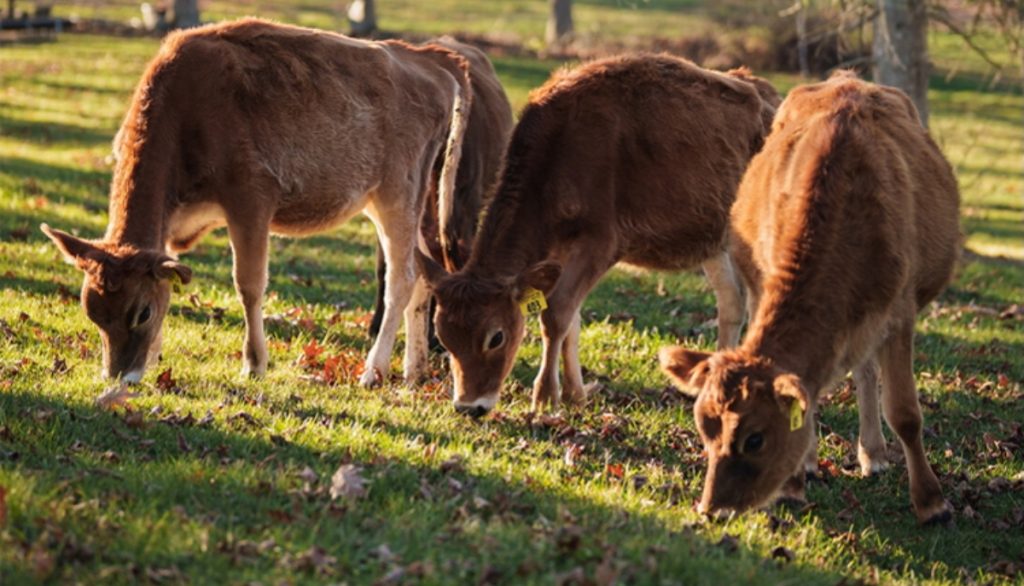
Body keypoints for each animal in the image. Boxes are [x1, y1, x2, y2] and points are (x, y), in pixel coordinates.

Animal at [40, 18, 471, 387]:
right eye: (92, 311)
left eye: (140, 312)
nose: (118, 377)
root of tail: (430, 61)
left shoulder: (250, 200)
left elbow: (248, 285)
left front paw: (254, 364)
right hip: (415, 202)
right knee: (421, 276)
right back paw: (412, 370)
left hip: (396, 194)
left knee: (401, 279)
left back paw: (373, 371)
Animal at [416, 54, 780, 416]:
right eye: (444, 338)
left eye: (496, 337)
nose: (469, 406)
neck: (560, 149)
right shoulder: (557, 250)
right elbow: (572, 322)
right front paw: (575, 393)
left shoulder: (601, 244)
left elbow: (556, 314)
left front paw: (545, 396)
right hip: (716, 244)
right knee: (732, 302)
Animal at [659, 71, 960, 524]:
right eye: (704, 428)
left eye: (754, 439)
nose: (713, 509)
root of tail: (846, 78)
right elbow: (810, 395)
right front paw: (795, 482)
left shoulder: (899, 313)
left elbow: (904, 412)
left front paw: (931, 502)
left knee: (866, 372)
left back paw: (873, 453)